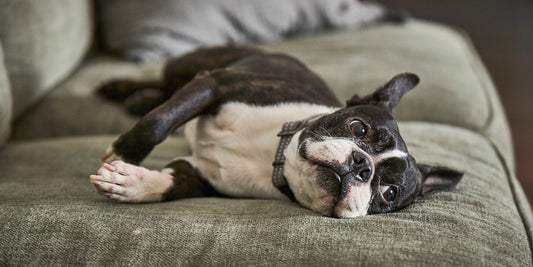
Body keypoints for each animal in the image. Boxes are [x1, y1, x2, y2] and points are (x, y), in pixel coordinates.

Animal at [90, 46, 462, 218]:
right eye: (358, 127)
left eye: (388, 193)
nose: (362, 166)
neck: (274, 156)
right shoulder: (217, 84)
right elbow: (159, 122)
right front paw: (125, 153)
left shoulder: (205, 176)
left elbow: (173, 184)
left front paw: (130, 182)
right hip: (194, 67)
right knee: (166, 86)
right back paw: (121, 88)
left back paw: (137, 99)